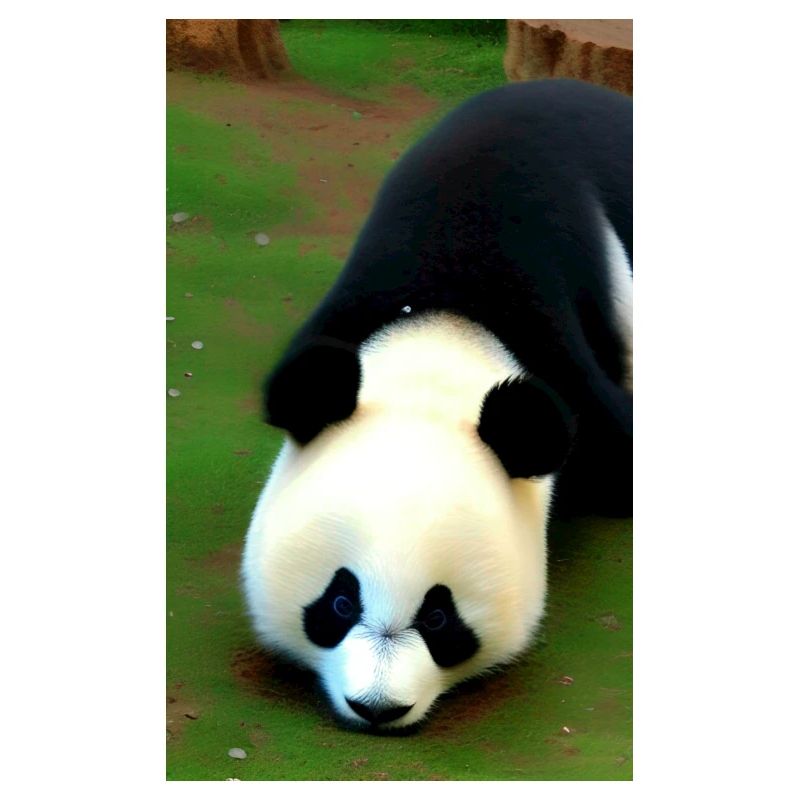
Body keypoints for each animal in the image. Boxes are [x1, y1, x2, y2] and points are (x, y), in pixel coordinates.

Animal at [242, 79, 632, 732]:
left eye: (439, 618)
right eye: (340, 601)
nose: (376, 708)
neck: (437, 347)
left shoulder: (563, 362)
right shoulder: (349, 312)